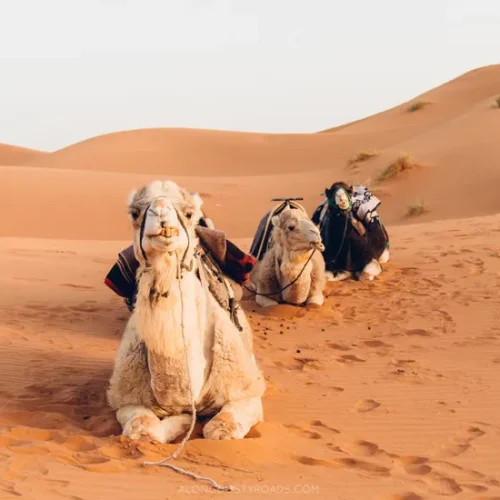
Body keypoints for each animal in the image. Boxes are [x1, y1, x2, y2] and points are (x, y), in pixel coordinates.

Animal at [107, 180, 266, 442]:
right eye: (135, 213)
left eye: (189, 213)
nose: (161, 214)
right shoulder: (126, 398)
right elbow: (143, 429)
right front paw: (182, 420)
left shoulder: (246, 394)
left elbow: (219, 429)